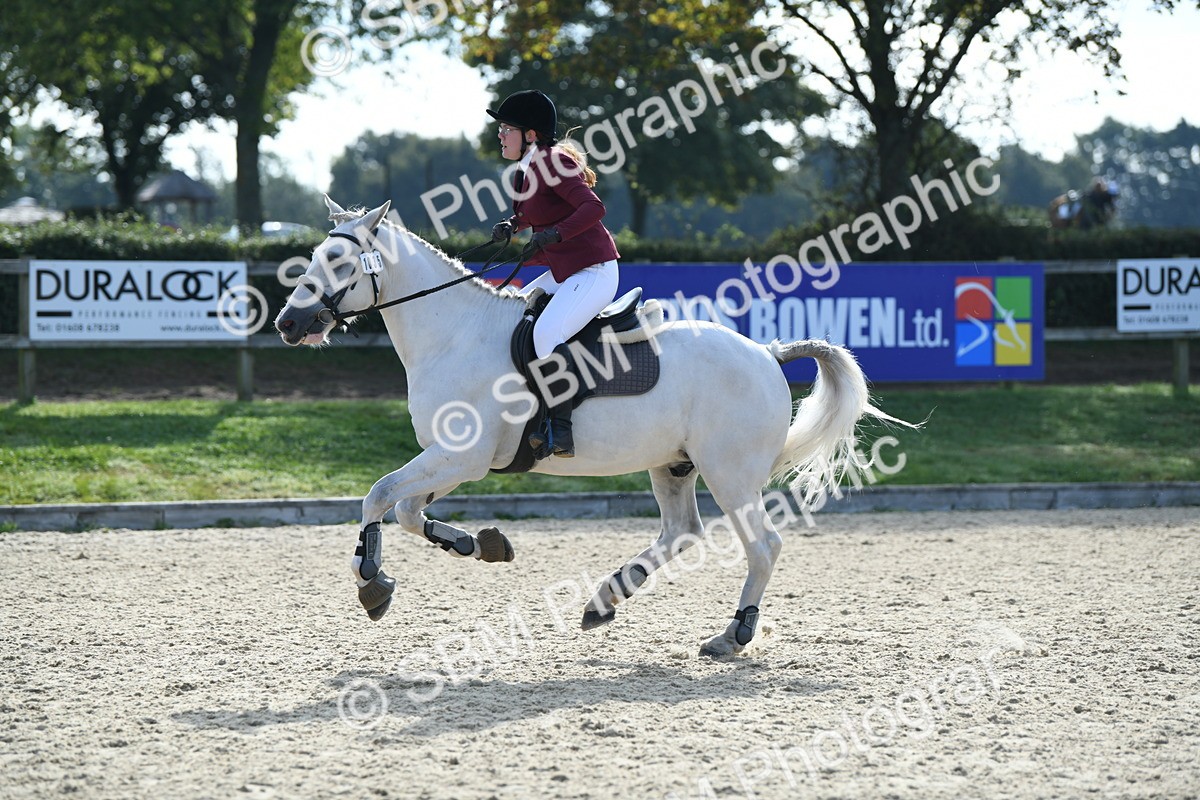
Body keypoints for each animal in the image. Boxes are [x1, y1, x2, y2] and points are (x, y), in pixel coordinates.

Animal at [274, 195, 901, 656]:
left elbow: (378, 496)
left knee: (763, 546)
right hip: (673, 465)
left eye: (339, 264)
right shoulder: (454, 460)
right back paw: (606, 599)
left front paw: (371, 582)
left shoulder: (461, 457)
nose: (287, 323)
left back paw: (734, 633)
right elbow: (404, 509)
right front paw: (480, 544)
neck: (454, 333)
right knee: (682, 531)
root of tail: (768, 352)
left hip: (731, 473)